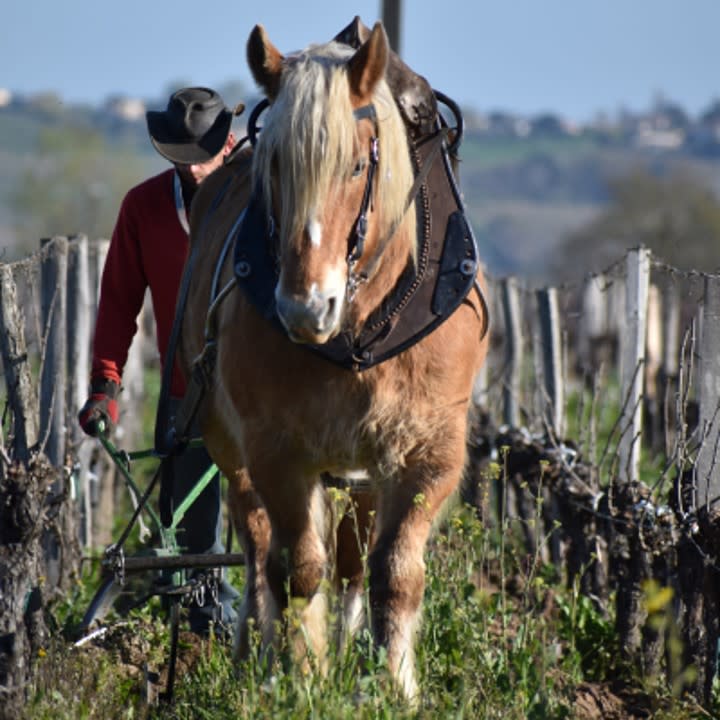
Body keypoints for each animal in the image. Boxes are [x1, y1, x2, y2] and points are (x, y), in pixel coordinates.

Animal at [177, 19, 490, 700]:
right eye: (271, 166)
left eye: (354, 164)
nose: (304, 308)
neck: (359, 330)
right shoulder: (276, 450)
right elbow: (297, 568)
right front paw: (301, 676)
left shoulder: (427, 451)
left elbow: (393, 573)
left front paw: (394, 686)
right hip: (229, 444)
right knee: (259, 551)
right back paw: (255, 654)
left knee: (352, 560)